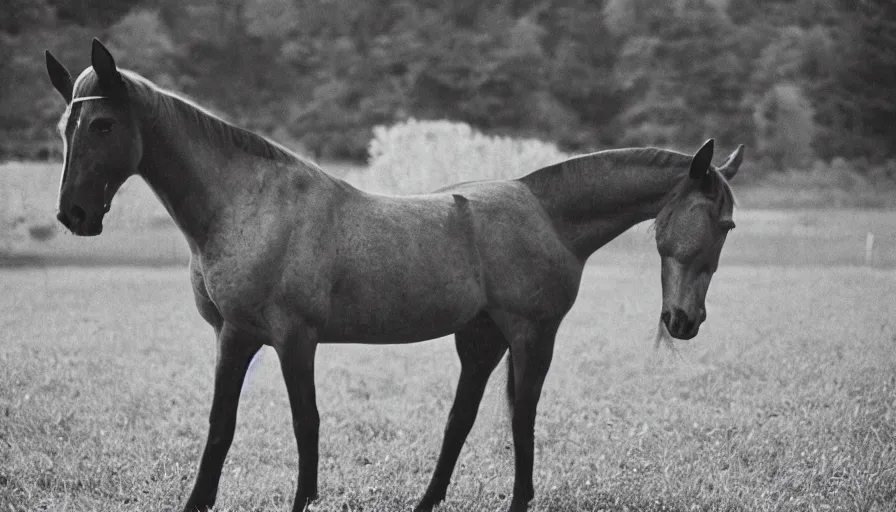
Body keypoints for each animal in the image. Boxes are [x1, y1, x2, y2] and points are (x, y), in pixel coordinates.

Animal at [43, 40, 744, 512]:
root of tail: (537, 203)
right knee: (466, 420)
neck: (245, 204)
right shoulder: (237, 337)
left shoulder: (282, 337)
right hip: (482, 338)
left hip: (527, 336)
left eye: (103, 123)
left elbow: (292, 425)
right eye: (68, 125)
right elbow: (231, 428)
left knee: (519, 417)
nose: (74, 215)